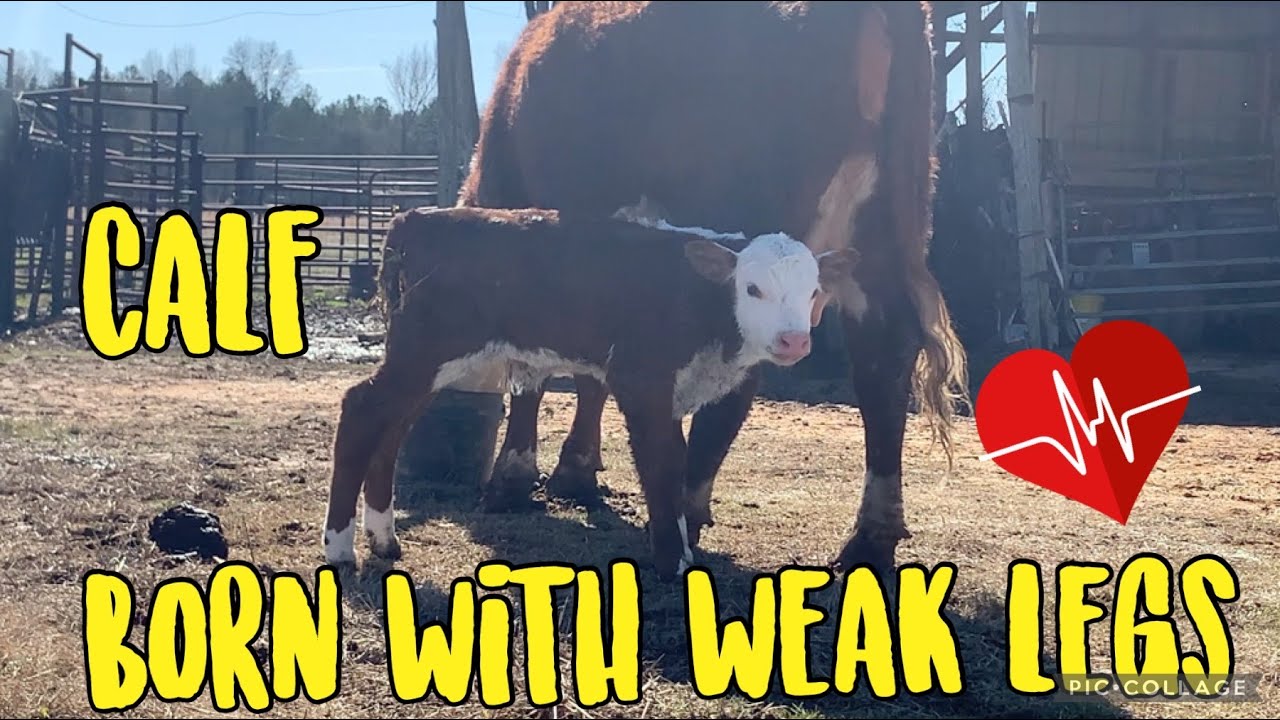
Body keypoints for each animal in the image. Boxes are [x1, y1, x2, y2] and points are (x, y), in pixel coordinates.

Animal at [321, 205, 858, 579]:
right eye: (752, 289)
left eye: (813, 292)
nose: (794, 340)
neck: (698, 299)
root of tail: (414, 219)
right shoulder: (640, 379)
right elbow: (663, 464)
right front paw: (673, 560)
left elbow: (687, 463)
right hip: (427, 348)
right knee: (361, 410)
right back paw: (340, 550)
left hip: (429, 359)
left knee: (393, 426)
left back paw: (384, 539)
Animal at [423, 0, 970, 576]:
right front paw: (576, 470)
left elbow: (533, 365)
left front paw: (513, 477)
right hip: (882, 233)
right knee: (884, 360)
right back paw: (870, 537)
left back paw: (685, 503)